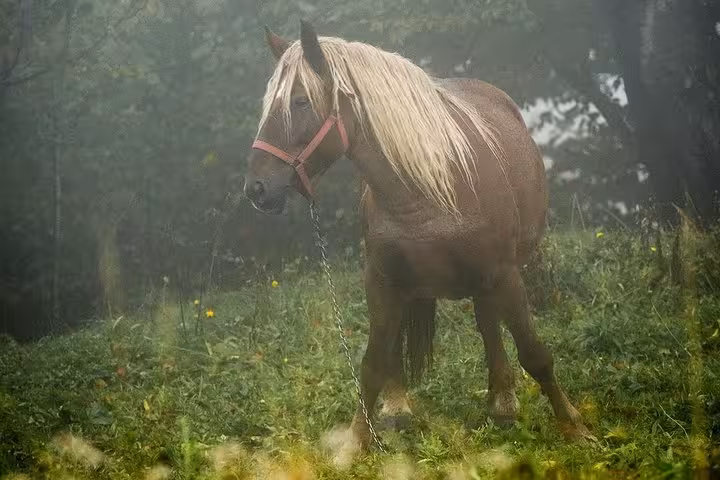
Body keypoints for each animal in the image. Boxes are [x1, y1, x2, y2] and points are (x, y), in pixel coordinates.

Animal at [243, 20, 595, 466]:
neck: (430, 190)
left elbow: (535, 354)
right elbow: (372, 363)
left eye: (301, 101)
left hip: (489, 280)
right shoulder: (381, 281)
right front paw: (355, 444)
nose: (256, 188)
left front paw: (575, 428)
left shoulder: (505, 275)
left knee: (489, 326)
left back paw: (503, 404)